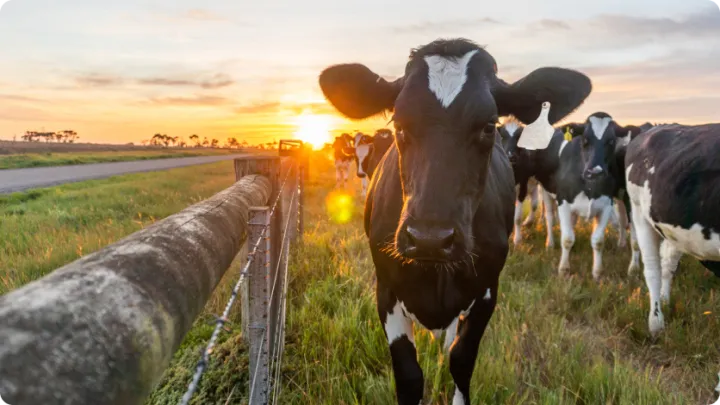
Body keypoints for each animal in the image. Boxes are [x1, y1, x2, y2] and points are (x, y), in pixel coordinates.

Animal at [318, 38, 591, 404]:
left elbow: (461, 360)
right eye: (398, 125)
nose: (429, 238)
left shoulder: (488, 291)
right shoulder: (385, 290)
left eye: (489, 126)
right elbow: (408, 375)